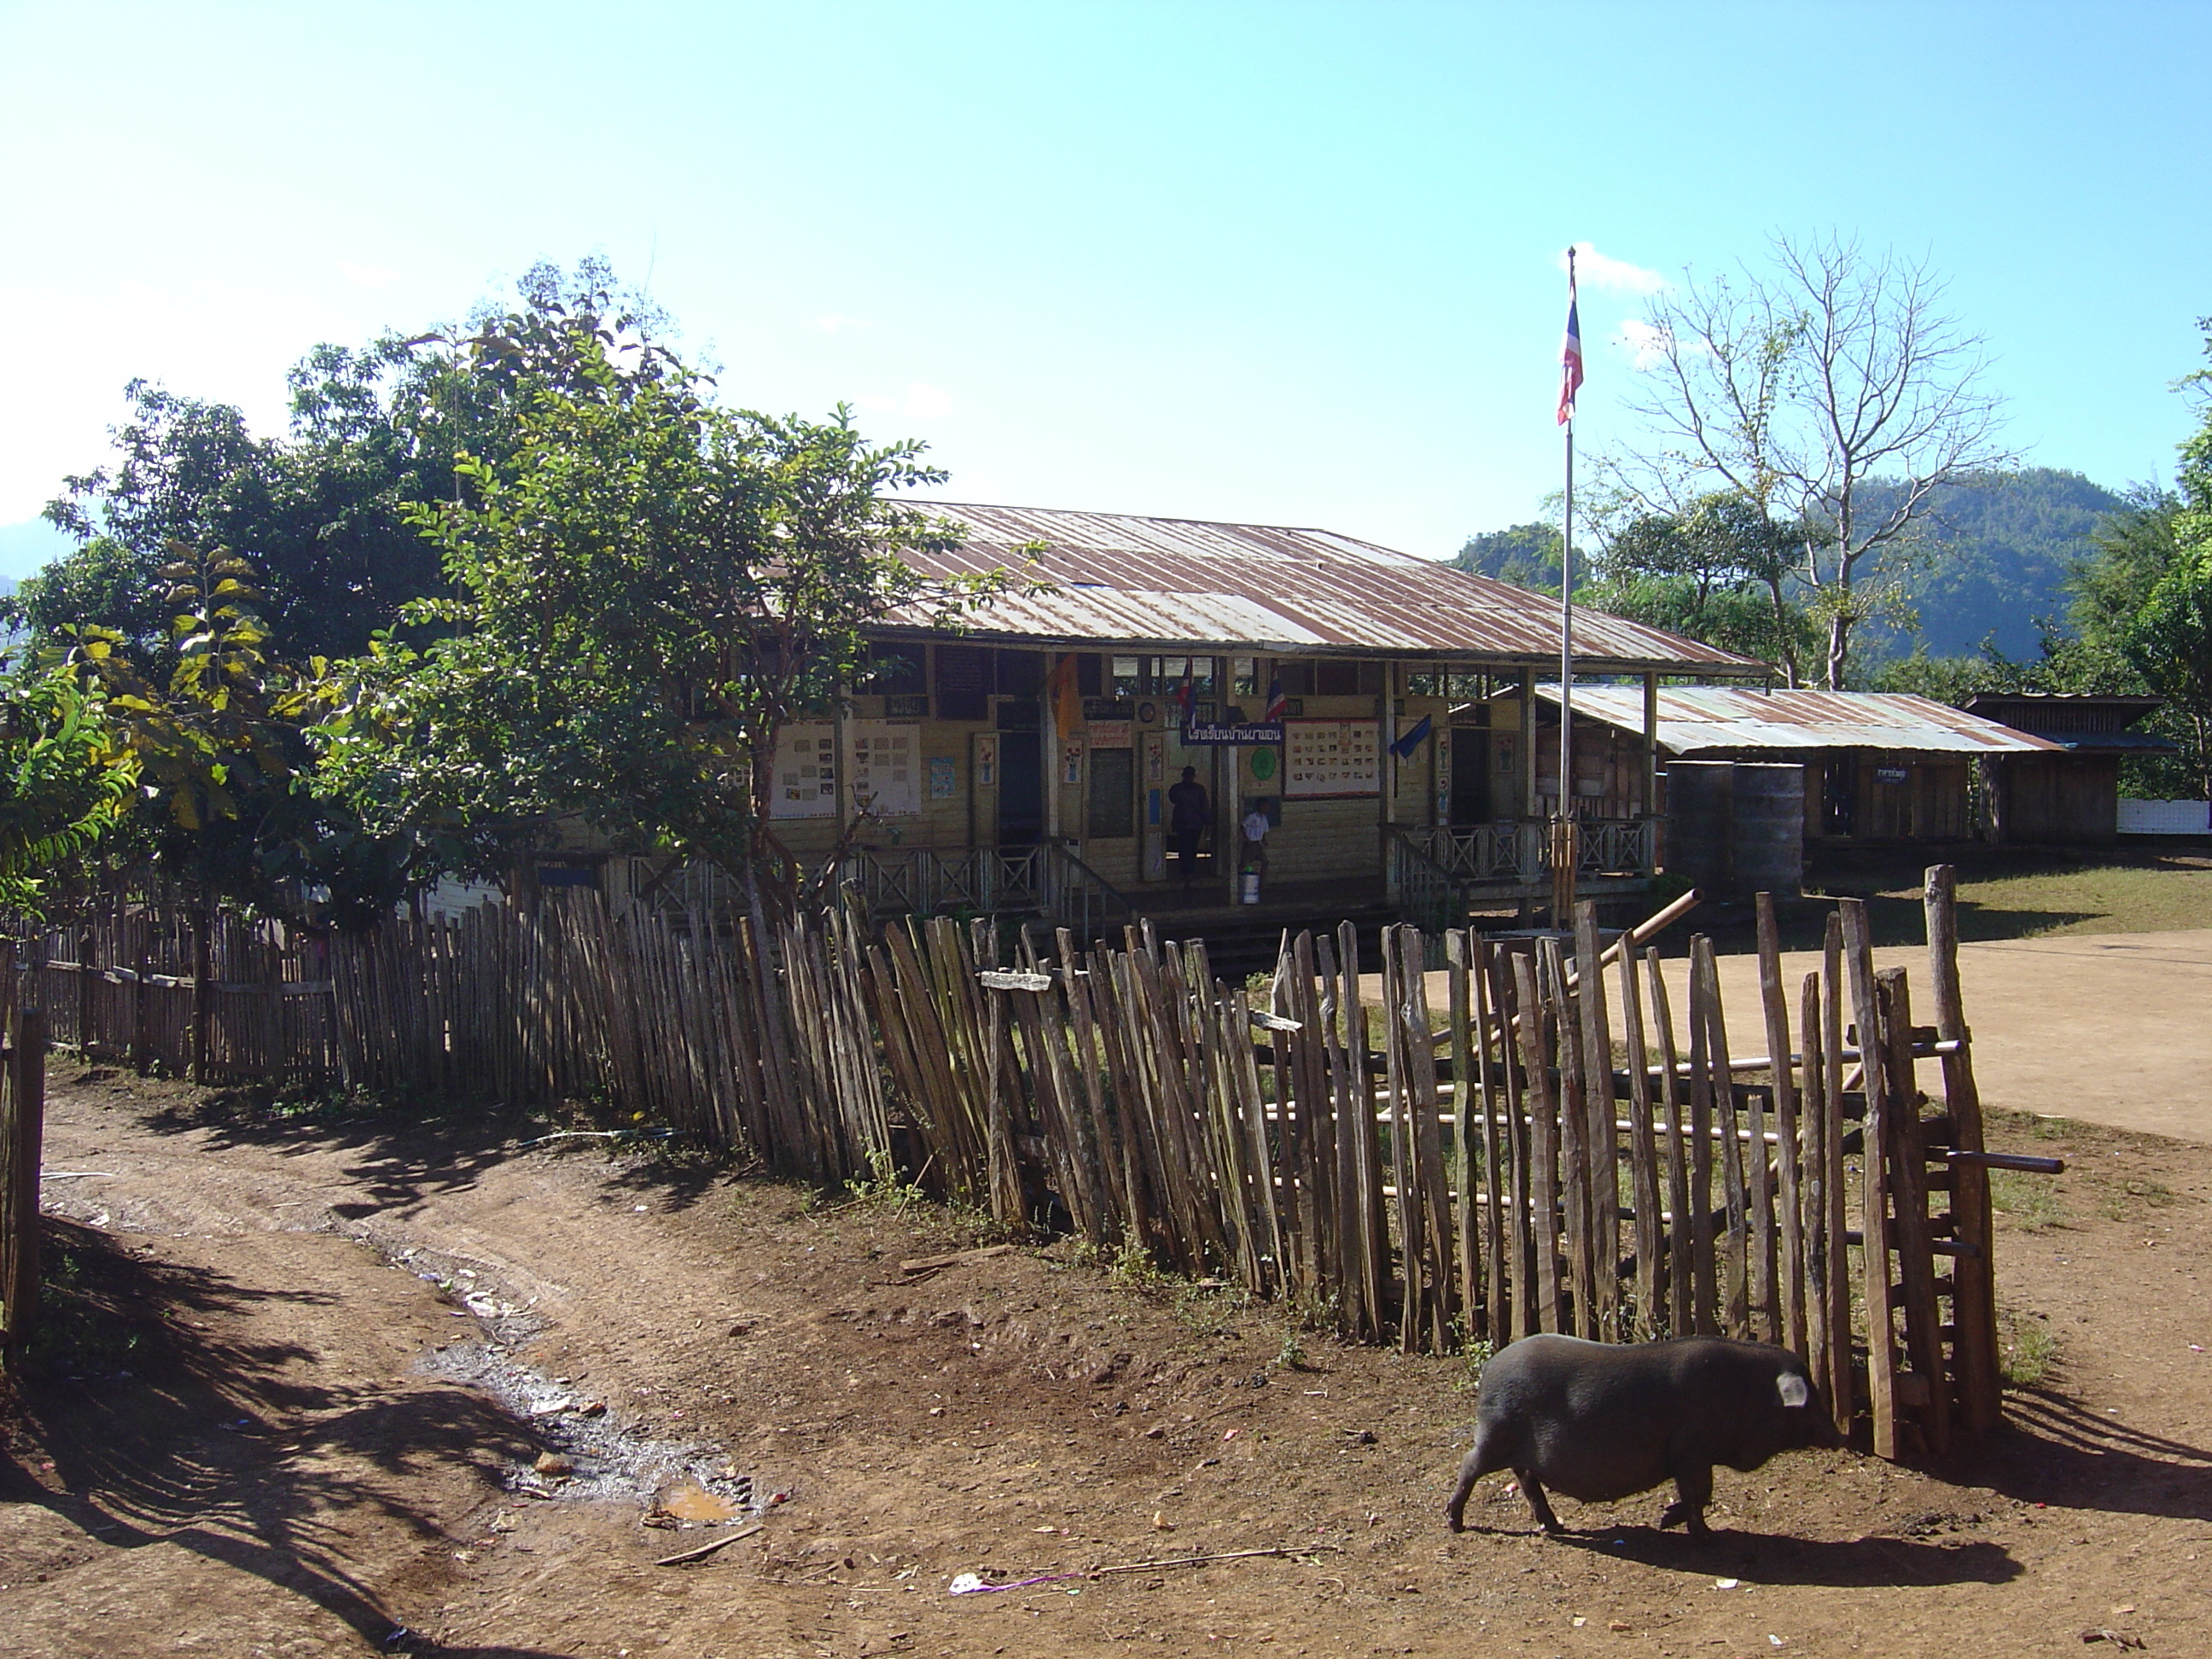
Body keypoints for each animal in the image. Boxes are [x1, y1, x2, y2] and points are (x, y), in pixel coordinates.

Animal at [1441, 1336, 1840, 1540]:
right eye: (1810, 1399)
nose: (1840, 1437)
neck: (1746, 1393)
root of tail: (1490, 1367)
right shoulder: (1691, 1452)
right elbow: (1699, 1494)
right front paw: (1700, 1535)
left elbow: (1700, 1494)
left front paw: (1671, 1522)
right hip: (1495, 1435)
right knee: (1469, 1465)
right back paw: (1455, 1524)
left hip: (1518, 1450)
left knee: (1526, 1480)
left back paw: (1555, 1527)